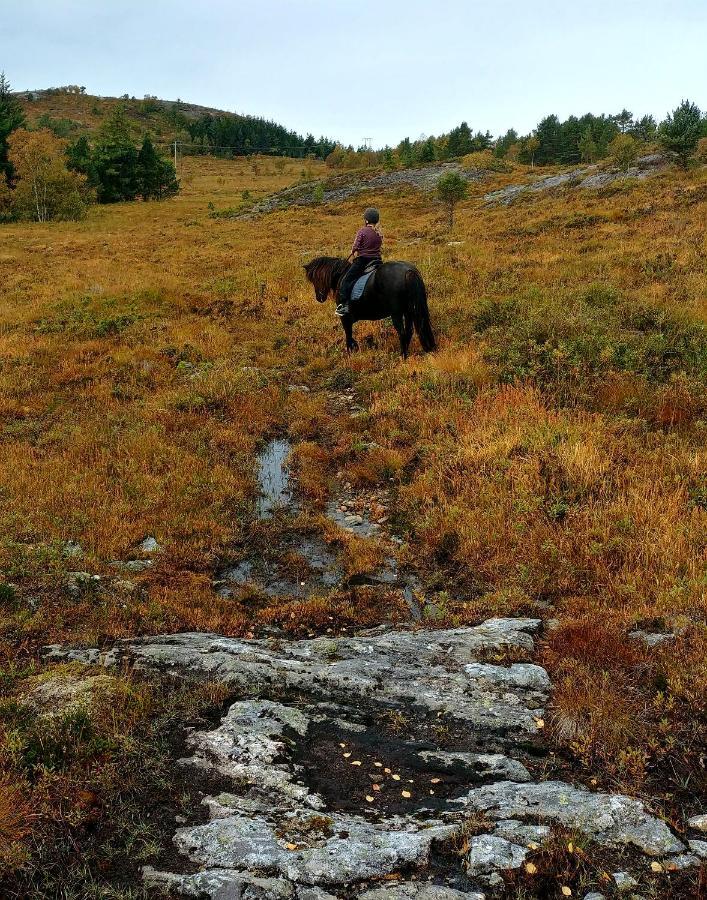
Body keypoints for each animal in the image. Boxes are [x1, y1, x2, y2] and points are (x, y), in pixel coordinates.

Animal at [304, 255, 436, 356]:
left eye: (315, 279)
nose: (319, 297)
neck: (341, 276)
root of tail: (408, 271)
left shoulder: (345, 317)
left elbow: (348, 335)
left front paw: (351, 353)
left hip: (397, 314)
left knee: (402, 333)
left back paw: (402, 356)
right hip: (408, 311)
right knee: (409, 332)